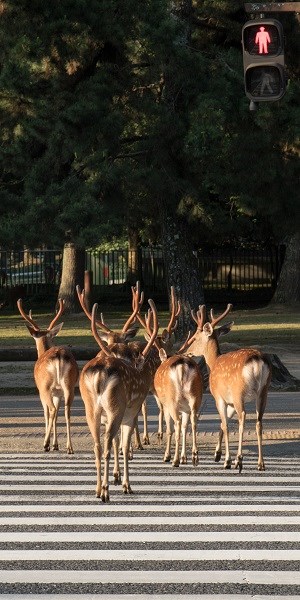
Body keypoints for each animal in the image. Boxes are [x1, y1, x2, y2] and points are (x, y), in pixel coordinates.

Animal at [16, 298, 78, 452]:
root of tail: (59, 355)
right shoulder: (58, 392)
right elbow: (56, 415)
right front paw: (56, 444)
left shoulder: (41, 390)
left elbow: (46, 413)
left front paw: (49, 443)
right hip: (69, 385)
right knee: (66, 411)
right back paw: (69, 447)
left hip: (45, 386)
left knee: (51, 409)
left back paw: (45, 444)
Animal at [79, 298, 159, 502]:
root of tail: (100, 374)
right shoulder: (130, 413)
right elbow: (122, 444)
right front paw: (126, 485)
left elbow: (118, 442)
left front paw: (117, 477)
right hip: (116, 406)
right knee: (107, 443)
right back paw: (106, 491)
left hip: (91, 408)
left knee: (97, 446)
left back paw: (98, 489)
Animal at [178, 304, 272, 474]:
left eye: (195, 337)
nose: (185, 351)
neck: (213, 362)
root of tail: (257, 362)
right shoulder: (230, 402)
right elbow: (222, 424)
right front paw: (217, 454)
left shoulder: (219, 397)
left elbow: (226, 425)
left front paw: (226, 460)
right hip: (264, 391)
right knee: (259, 422)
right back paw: (261, 463)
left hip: (238, 391)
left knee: (242, 418)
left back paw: (238, 460)